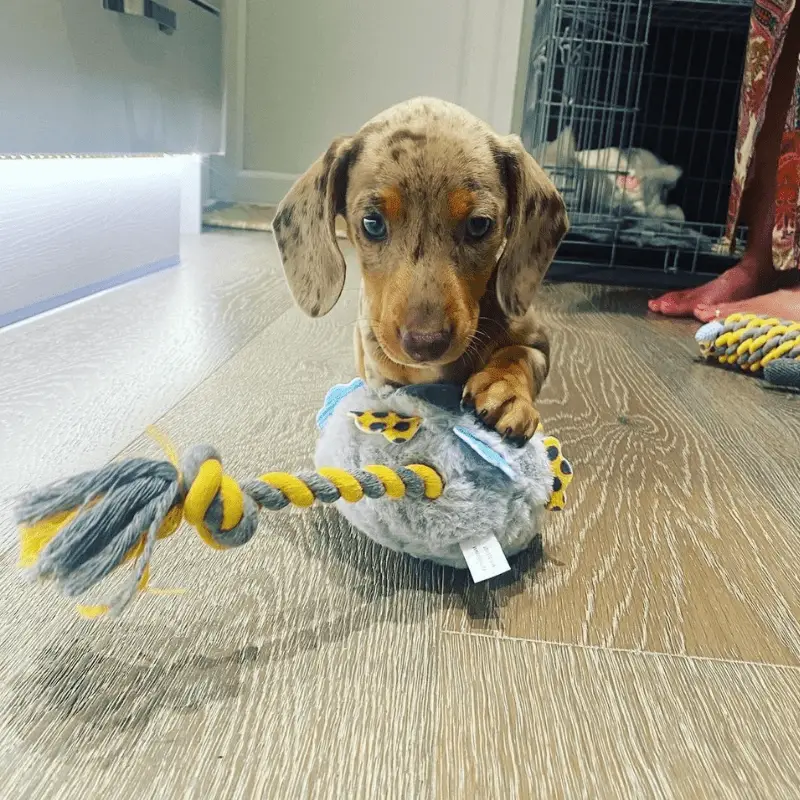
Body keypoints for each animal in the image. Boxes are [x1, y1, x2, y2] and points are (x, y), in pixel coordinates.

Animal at [274, 97, 568, 444]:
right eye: (372, 223)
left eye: (479, 224)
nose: (425, 344)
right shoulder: (383, 377)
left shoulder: (536, 340)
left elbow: (521, 355)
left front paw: (505, 392)